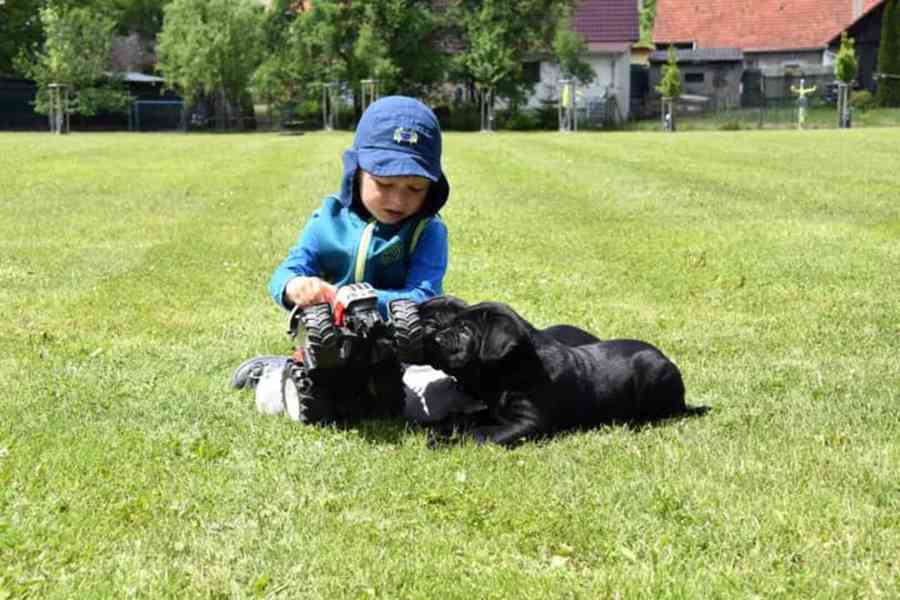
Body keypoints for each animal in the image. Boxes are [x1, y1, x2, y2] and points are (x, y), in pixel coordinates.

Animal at [418, 300, 708, 446]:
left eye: (466, 330)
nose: (435, 338)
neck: (509, 372)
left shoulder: (529, 423)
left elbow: (482, 434)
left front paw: (448, 441)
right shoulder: (494, 409)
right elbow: (467, 417)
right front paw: (444, 430)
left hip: (656, 376)